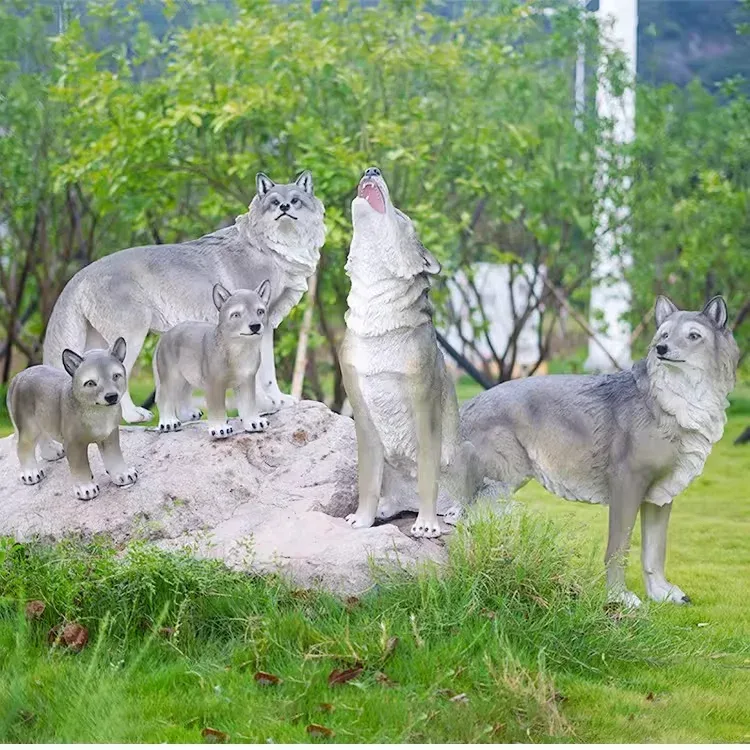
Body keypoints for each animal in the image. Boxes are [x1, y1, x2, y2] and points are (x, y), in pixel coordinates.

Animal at [7, 338, 138, 500]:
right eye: (90, 383)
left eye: (116, 376)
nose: (111, 396)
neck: (99, 413)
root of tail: (19, 376)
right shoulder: (74, 443)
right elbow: (80, 466)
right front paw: (86, 488)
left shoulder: (110, 435)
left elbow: (114, 456)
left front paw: (123, 474)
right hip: (28, 425)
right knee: (23, 446)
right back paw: (30, 473)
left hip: (42, 417)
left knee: (43, 434)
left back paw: (52, 452)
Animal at [154, 281, 270, 438]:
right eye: (236, 315)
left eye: (260, 311)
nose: (255, 326)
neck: (239, 350)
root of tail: (165, 334)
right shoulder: (214, 384)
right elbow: (217, 407)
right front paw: (220, 429)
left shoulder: (247, 380)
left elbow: (248, 403)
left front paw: (253, 422)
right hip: (171, 376)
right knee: (164, 397)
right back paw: (169, 422)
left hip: (188, 377)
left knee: (182, 394)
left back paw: (189, 414)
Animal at [340, 167, 471, 538]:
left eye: (401, 216)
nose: (372, 169)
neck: (376, 323)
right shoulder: (360, 409)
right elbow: (367, 480)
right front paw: (363, 519)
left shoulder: (424, 402)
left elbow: (428, 474)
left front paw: (426, 525)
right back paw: (388, 509)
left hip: (465, 453)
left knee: (469, 497)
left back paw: (451, 514)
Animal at [460, 296, 739, 606]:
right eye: (664, 335)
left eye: (693, 336)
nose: (661, 349)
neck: (673, 403)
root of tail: (469, 403)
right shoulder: (627, 486)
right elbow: (619, 548)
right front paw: (620, 598)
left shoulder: (660, 497)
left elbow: (655, 551)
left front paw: (661, 594)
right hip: (497, 486)